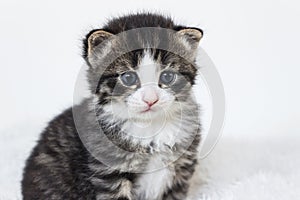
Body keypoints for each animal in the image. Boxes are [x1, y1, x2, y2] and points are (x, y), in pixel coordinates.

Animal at [22, 13, 203, 199]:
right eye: (129, 78)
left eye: (167, 77)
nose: (150, 99)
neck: (150, 128)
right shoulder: (110, 173)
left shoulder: (180, 171)